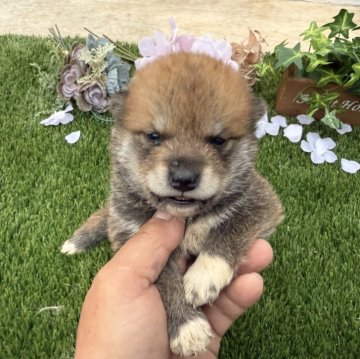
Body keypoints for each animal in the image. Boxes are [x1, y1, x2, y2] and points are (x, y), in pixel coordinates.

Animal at [61, 52, 282, 358]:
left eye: (218, 140)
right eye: (154, 136)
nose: (184, 179)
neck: (187, 217)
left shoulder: (261, 200)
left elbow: (231, 228)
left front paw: (204, 276)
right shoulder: (130, 233)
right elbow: (164, 279)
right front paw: (188, 328)